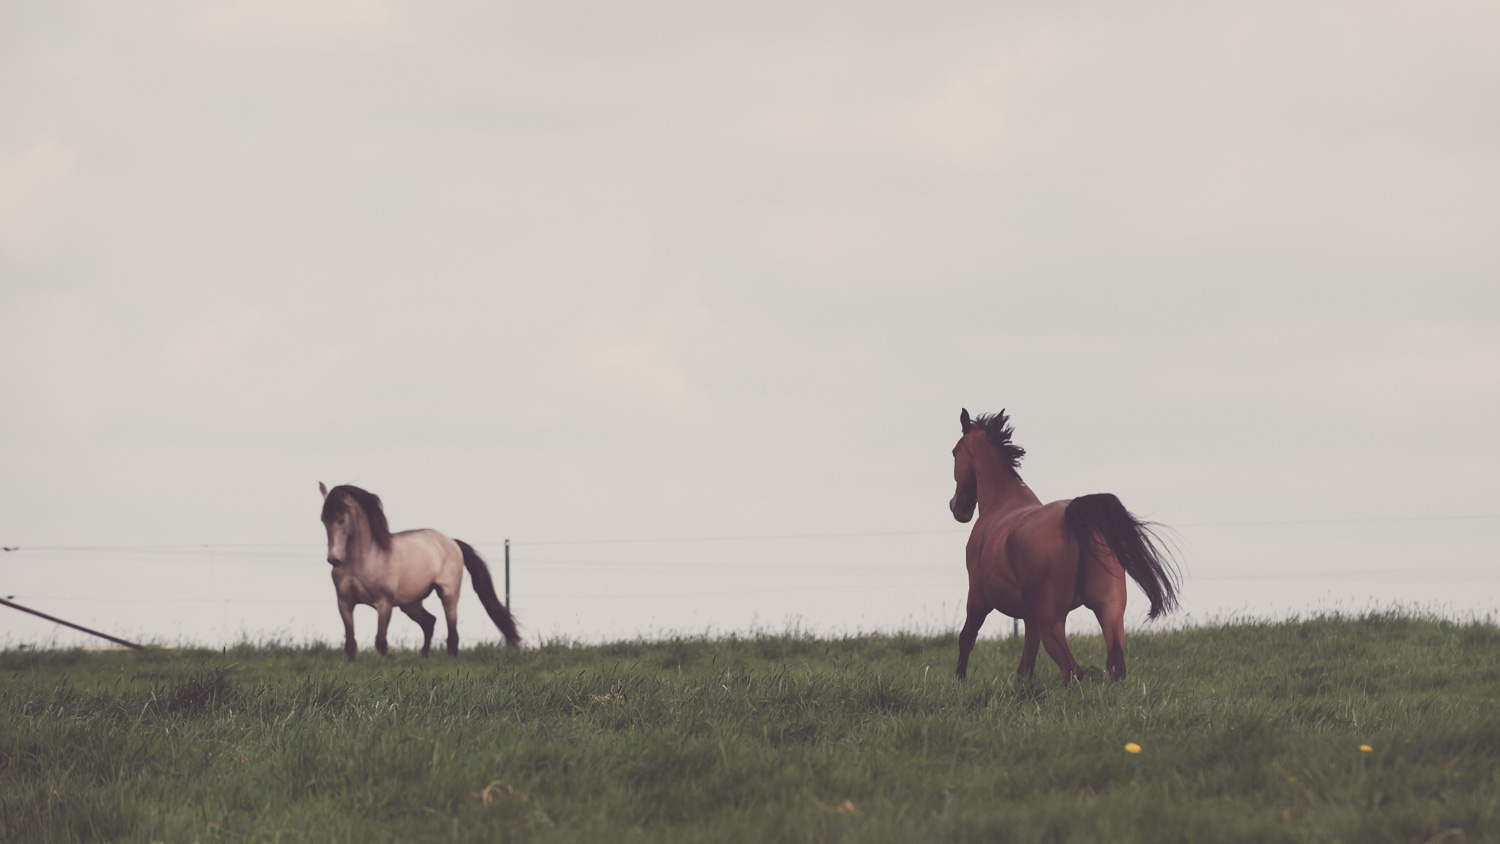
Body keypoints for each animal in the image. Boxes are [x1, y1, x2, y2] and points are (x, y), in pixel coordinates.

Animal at [316, 482, 522, 659]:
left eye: (341, 519)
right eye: (323, 520)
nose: (333, 559)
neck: (363, 559)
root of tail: (452, 542)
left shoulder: (384, 604)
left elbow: (381, 642)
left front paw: (394, 660)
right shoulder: (345, 603)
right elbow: (350, 644)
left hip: (448, 595)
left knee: (452, 634)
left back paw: (449, 660)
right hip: (410, 603)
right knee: (429, 622)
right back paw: (424, 657)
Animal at [948, 410, 1182, 686]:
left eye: (954, 452)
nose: (957, 508)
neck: (1001, 503)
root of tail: (1075, 516)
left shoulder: (978, 599)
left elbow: (967, 639)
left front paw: (960, 683)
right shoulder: (1030, 619)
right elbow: (1025, 667)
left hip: (1052, 622)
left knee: (1072, 670)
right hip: (1109, 610)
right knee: (1115, 664)